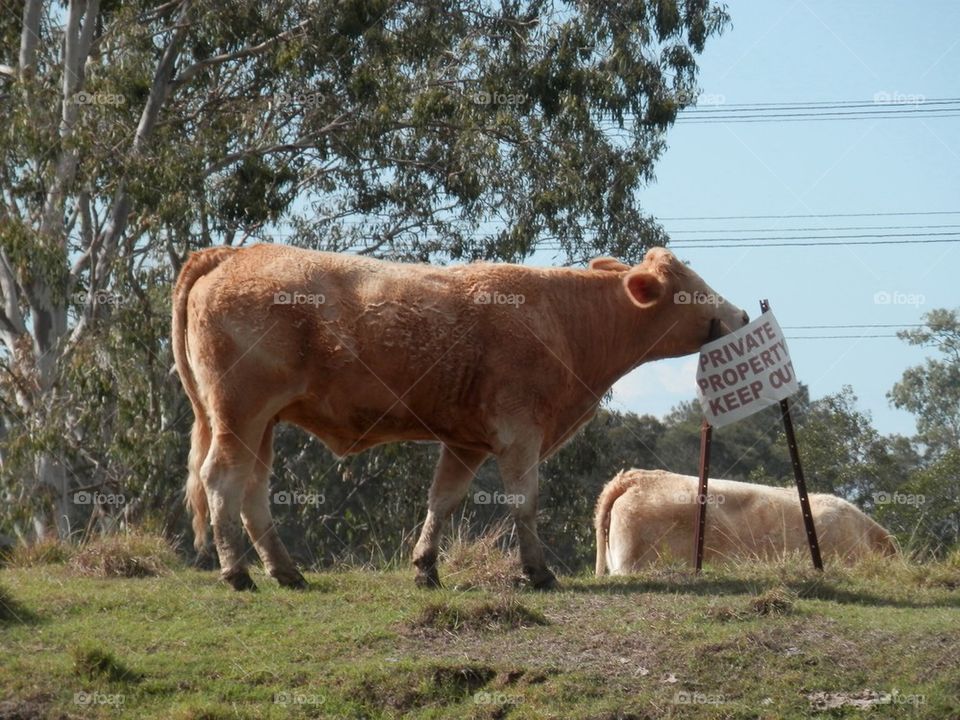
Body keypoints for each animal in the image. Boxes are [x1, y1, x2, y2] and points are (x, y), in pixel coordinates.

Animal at [171, 244, 749, 591]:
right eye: (693, 287)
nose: (742, 314)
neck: (565, 317)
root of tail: (235, 251)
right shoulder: (520, 433)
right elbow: (524, 502)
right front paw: (538, 573)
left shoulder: (466, 442)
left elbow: (443, 501)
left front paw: (426, 567)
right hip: (239, 413)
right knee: (222, 481)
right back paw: (236, 571)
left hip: (262, 423)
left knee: (253, 491)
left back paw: (286, 571)